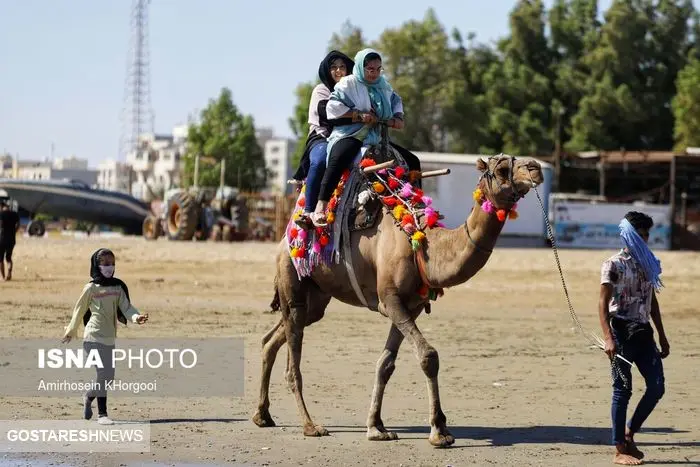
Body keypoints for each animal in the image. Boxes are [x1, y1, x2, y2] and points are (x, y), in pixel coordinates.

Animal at [252, 153, 548, 446]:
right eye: (501, 169)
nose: (535, 168)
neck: (423, 245)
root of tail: (284, 239)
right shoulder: (390, 300)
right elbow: (428, 355)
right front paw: (439, 430)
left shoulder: (410, 306)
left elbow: (385, 364)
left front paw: (376, 427)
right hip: (292, 277)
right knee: (293, 358)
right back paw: (310, 425)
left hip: (317, 297)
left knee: (273, 338)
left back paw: (262, 415)